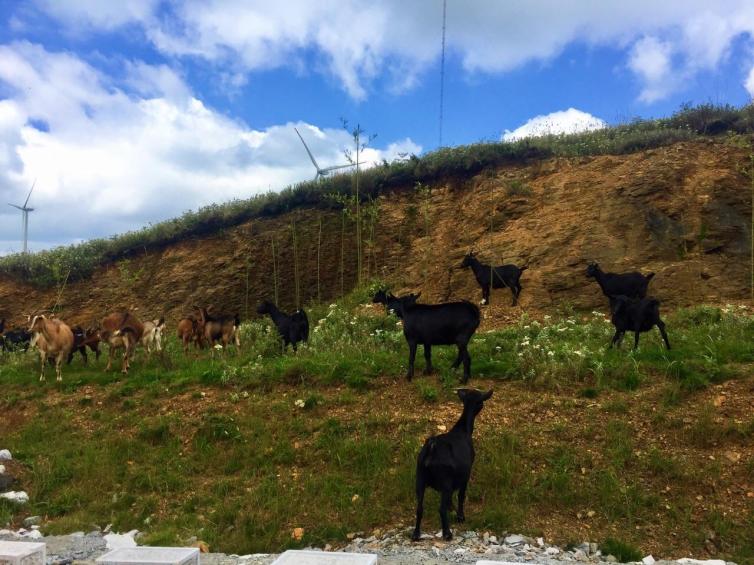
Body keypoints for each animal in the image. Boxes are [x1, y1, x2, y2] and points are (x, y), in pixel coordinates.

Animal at [412, 386, 494, 540]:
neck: (463, 430)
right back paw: (447, 533)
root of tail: (432, 447)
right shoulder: (465, 474)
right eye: (480, 401)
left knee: (419, 508)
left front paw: (454, 511)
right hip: (445, 481)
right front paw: (460, 516)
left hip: (420, 478)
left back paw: (416, 534)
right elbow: (461, 496)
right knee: (440, 508)